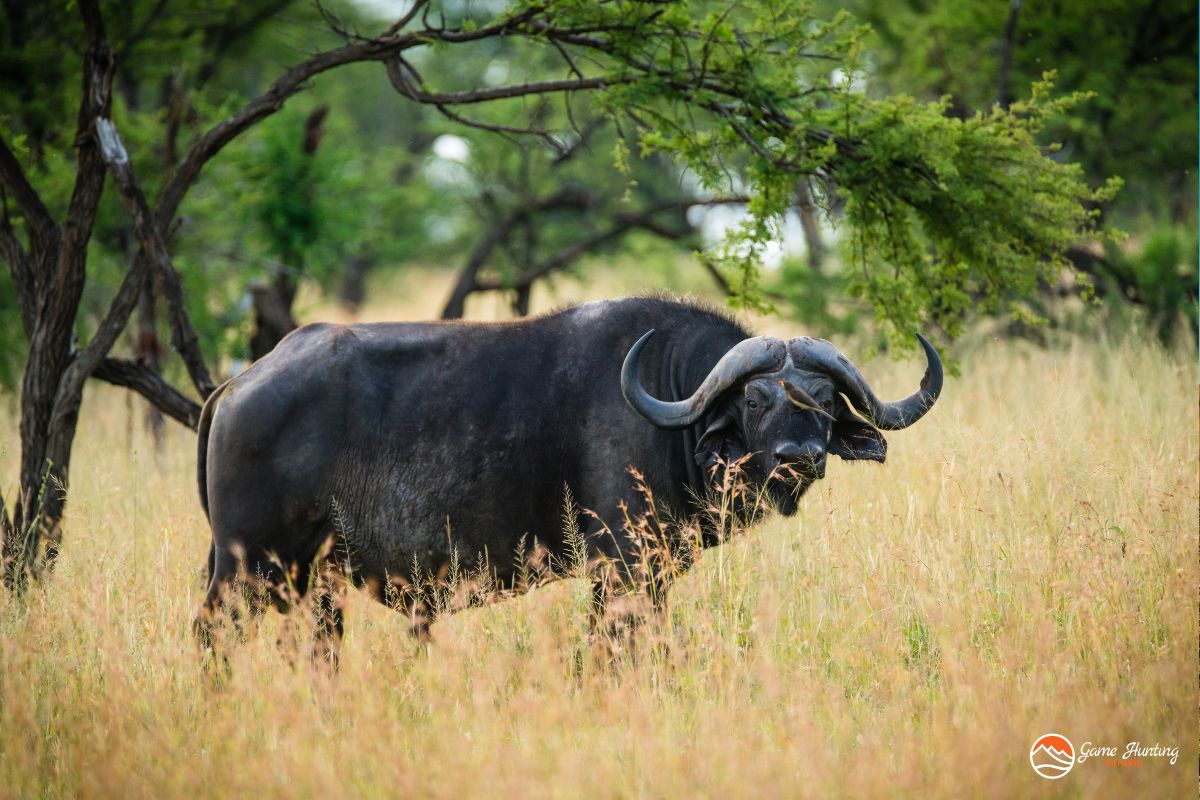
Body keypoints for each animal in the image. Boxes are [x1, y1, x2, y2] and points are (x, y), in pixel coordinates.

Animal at [195, 297, 941, 655]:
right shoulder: (623, 568)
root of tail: (240, 383)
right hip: (244, 570)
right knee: (210, 636)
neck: (671, 407)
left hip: (311, 582)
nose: (799, 456)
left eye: (826, 400)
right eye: (757, 400)